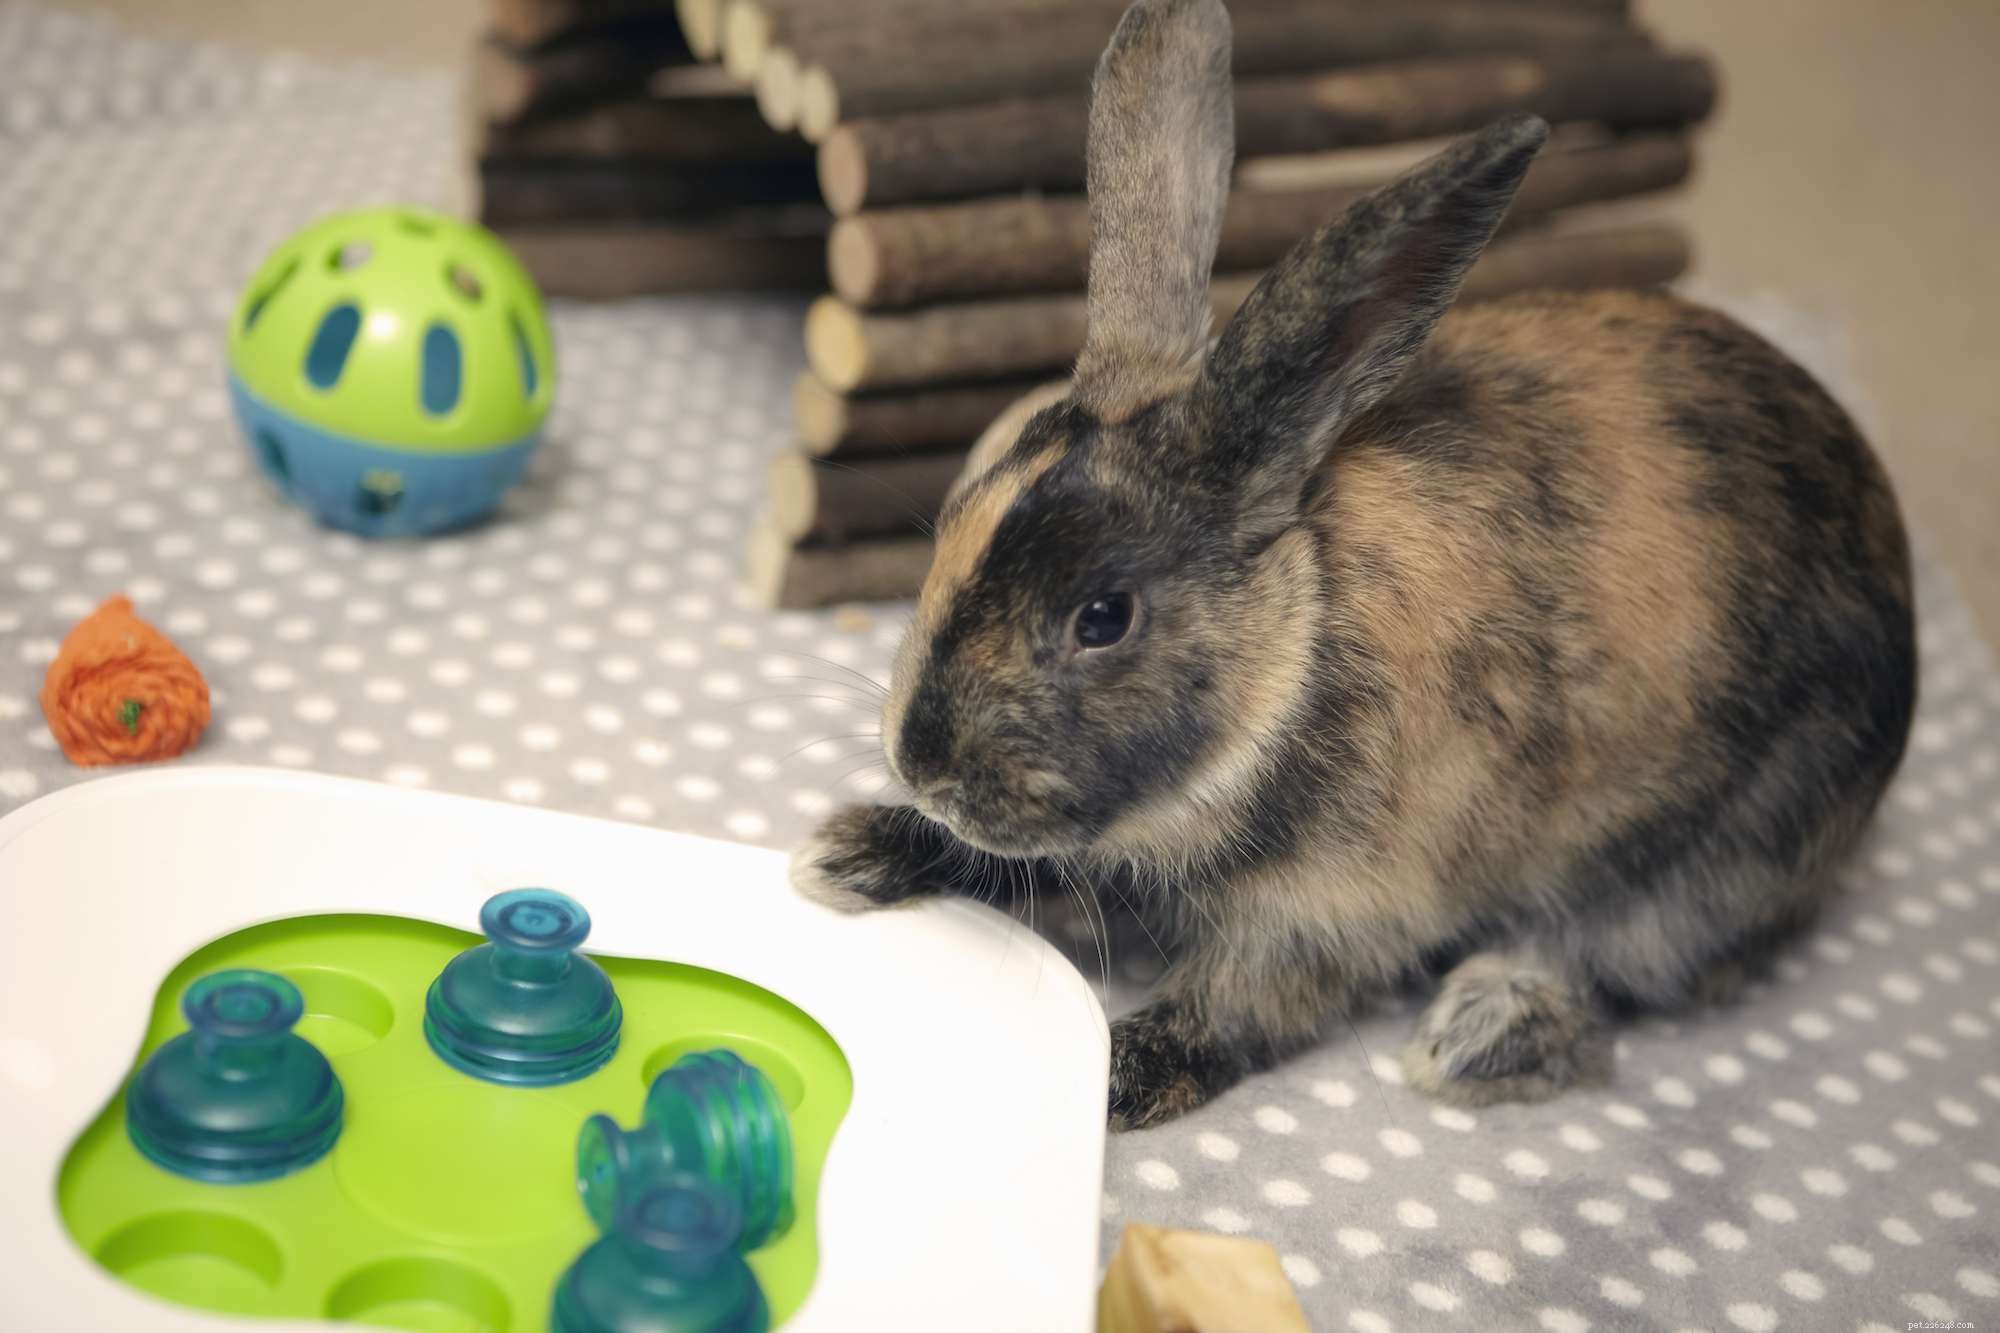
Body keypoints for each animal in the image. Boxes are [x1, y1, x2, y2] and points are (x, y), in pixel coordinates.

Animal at [790, 0, 1917, 1130]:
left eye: (1103, 615)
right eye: (954, 514)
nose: (922, 766)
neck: (1287, 649)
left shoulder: (1334, 909)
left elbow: (1235, 1005)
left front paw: (1105, 1081)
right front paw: (849, 853)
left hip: (1708, 863)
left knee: (1610, 965)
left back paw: (1480, 1036)